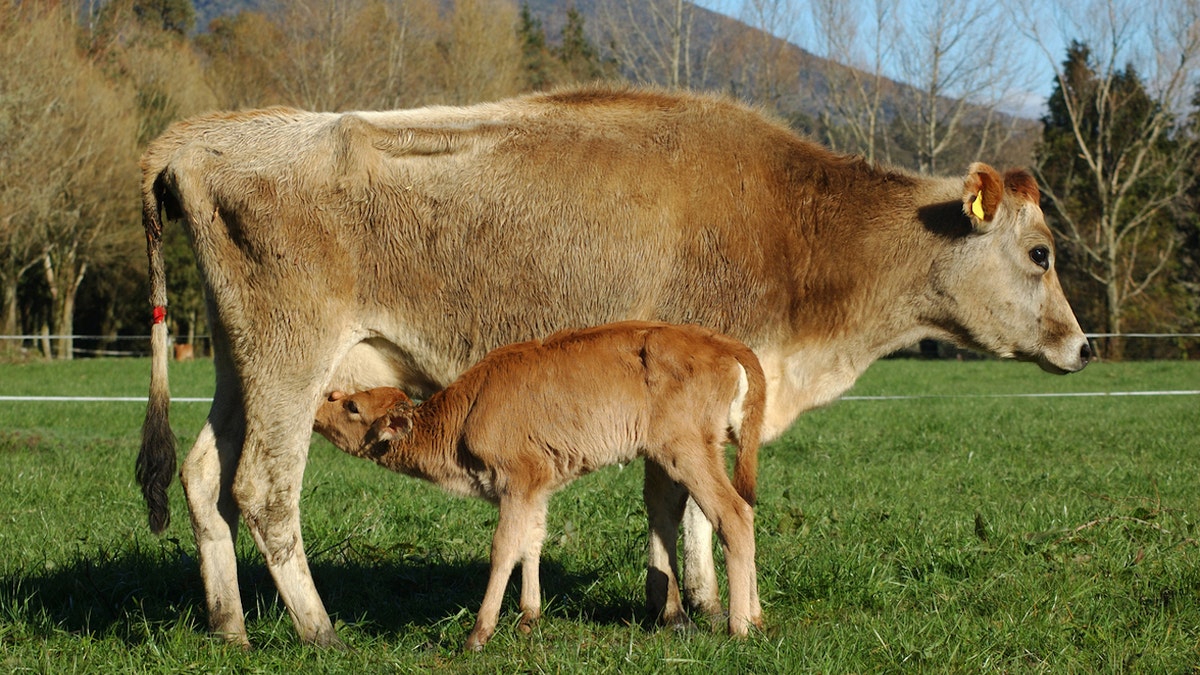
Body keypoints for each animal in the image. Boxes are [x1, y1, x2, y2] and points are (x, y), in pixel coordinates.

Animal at [307, 319, 758, 648]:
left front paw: (479, 634)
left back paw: (738, 628)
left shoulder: (517, 483)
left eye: (351, 406)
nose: (315, 408)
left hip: (688, 453)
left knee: (733, 515)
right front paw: (528, 618)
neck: (466, 412)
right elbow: (532, 542)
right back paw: (755, 616)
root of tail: (721, 343)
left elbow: (504, 548)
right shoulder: (536, 488)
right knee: (734, 512)